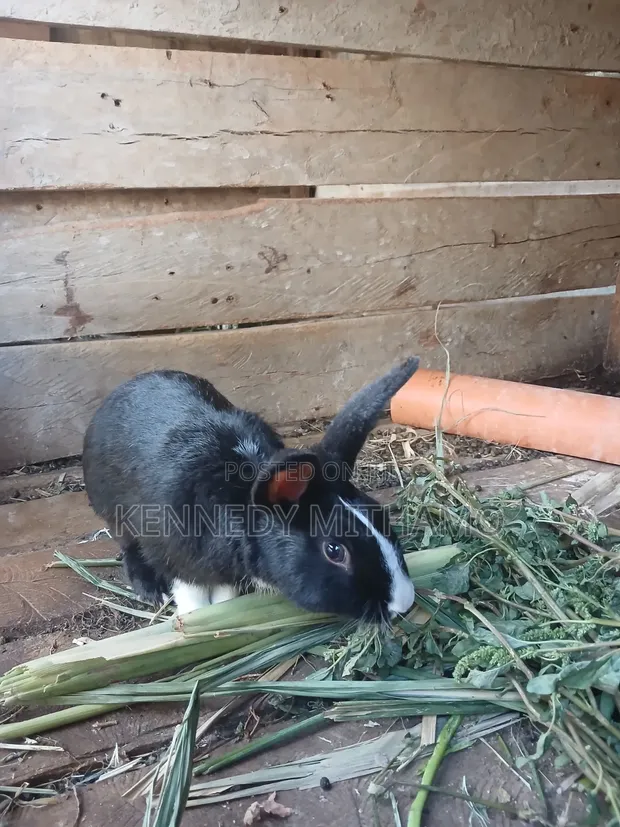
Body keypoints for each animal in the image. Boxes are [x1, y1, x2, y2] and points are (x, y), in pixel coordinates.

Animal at [82, 357, 420, 622]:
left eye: (378, 513)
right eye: (335, 551)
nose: (404, 603)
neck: (241, 504)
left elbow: (224, 593)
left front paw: (223, 612)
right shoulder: (177, 557)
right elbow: (191, 593)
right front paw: (197, 620)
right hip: (115, 512)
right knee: (128, 546)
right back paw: (150, 589)